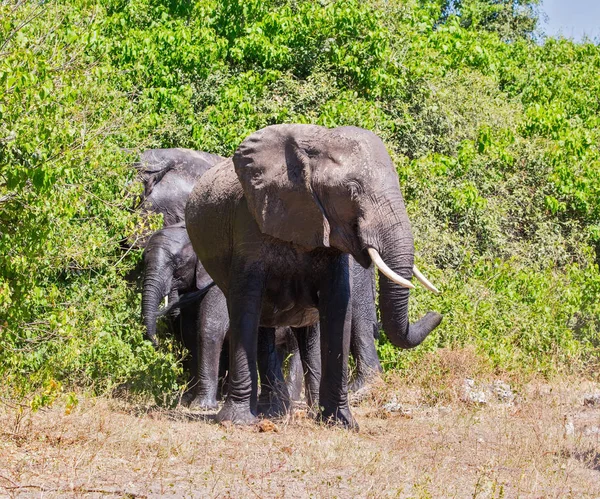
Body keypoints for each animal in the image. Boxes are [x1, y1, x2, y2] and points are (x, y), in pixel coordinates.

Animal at [185, 125, 442, 430]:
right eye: (352, 190)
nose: (437, 313)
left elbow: (338, 308)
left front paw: (341, 422)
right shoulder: (249, 224)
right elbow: (245, 306)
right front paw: (236, 421)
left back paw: (298, 410)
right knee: (262, 323)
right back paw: (273, 413)